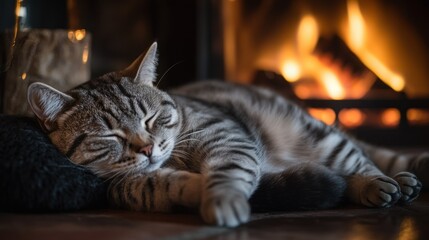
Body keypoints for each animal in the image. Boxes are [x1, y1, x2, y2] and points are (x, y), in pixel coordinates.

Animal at [26, 42, 424, 227]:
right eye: (110, 136)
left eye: (151, 119)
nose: (148, 148)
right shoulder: (128, 187)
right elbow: (160, 184)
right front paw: (192, 187)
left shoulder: (227, 138)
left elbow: (228, 173)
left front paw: (223, 199)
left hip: (316, 134)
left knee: (364, 161)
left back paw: (384, 182)